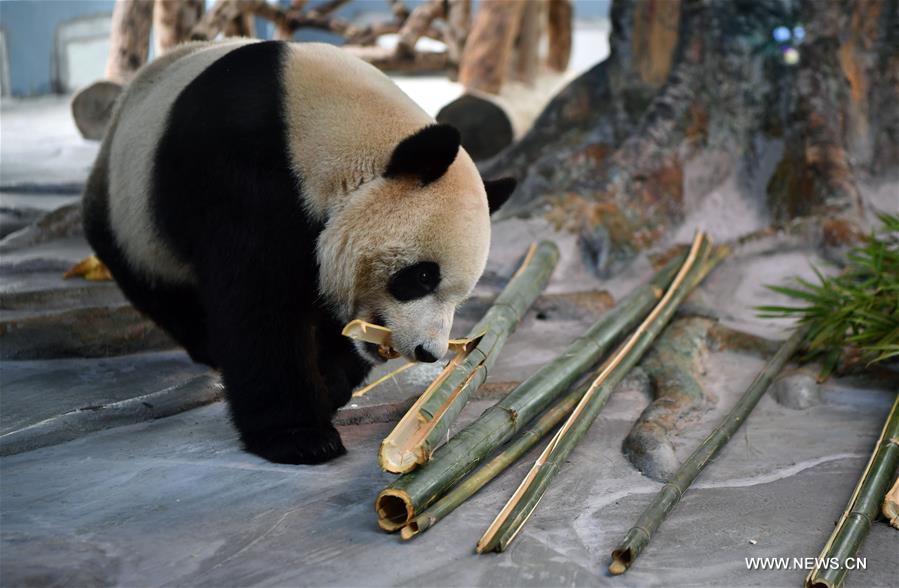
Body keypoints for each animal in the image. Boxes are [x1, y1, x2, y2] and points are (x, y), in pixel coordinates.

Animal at [82, 40, 515, 465]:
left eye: (460, 298)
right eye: (422, 276)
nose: (428, 353)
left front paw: (330, 383)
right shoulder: (243, 177)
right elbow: (259, 306)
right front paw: (300, 437)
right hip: (132, 213)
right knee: (159, 288)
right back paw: (207, 344)